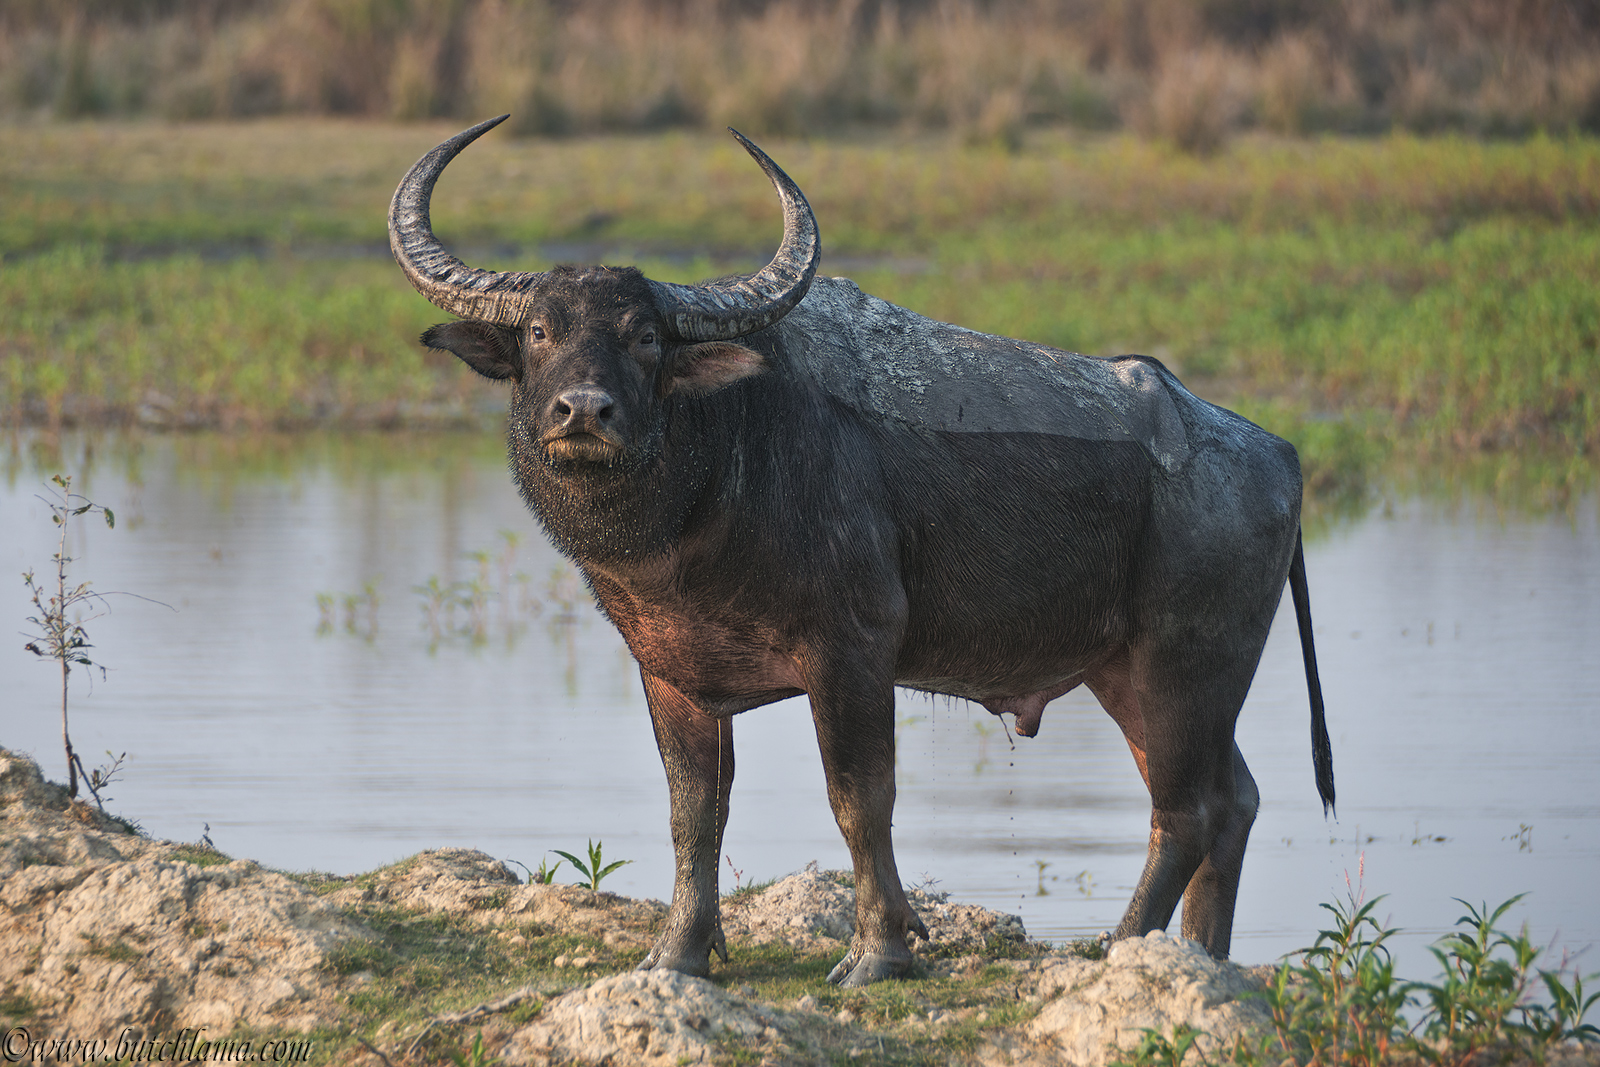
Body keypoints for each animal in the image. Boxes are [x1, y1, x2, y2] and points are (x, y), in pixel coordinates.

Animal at [389, 116, 1334, 987]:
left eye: (646, 335)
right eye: (541, 331)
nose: (583, 411)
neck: (713, 482)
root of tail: (1276, 453)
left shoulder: (852, 650)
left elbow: (860, 799)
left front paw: (879, 950)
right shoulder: (671, 676)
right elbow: (695, 814)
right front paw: (676, 953)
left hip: (1186, 663)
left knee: (1187, 809)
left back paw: (1123, 946)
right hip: (1132, 674)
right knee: (1232, 800)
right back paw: (1200, 954)